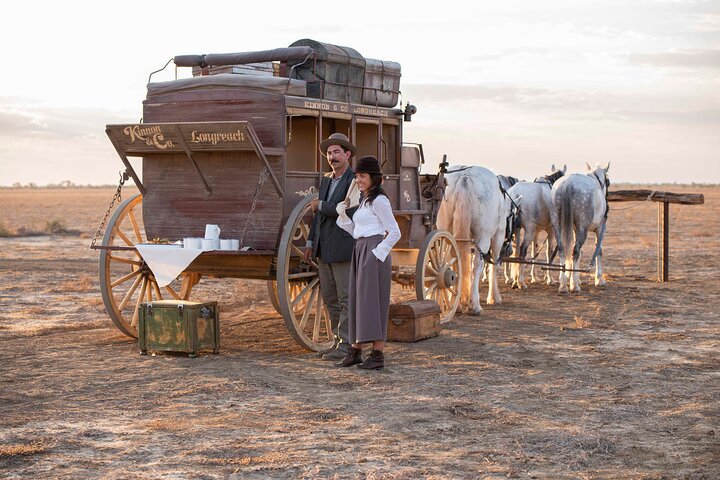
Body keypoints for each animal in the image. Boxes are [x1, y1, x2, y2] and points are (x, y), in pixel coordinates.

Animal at [548, 164, 612, 292]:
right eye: (608, 181)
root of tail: (568, 184)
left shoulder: (574, 229)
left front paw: (576, 279)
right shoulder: (600, 228)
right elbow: (598, 251)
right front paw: (599, 280)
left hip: (557, 224)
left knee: (563, 249)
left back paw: (563, 285)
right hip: (583, 228)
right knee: (576, 250)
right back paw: (574, 286)